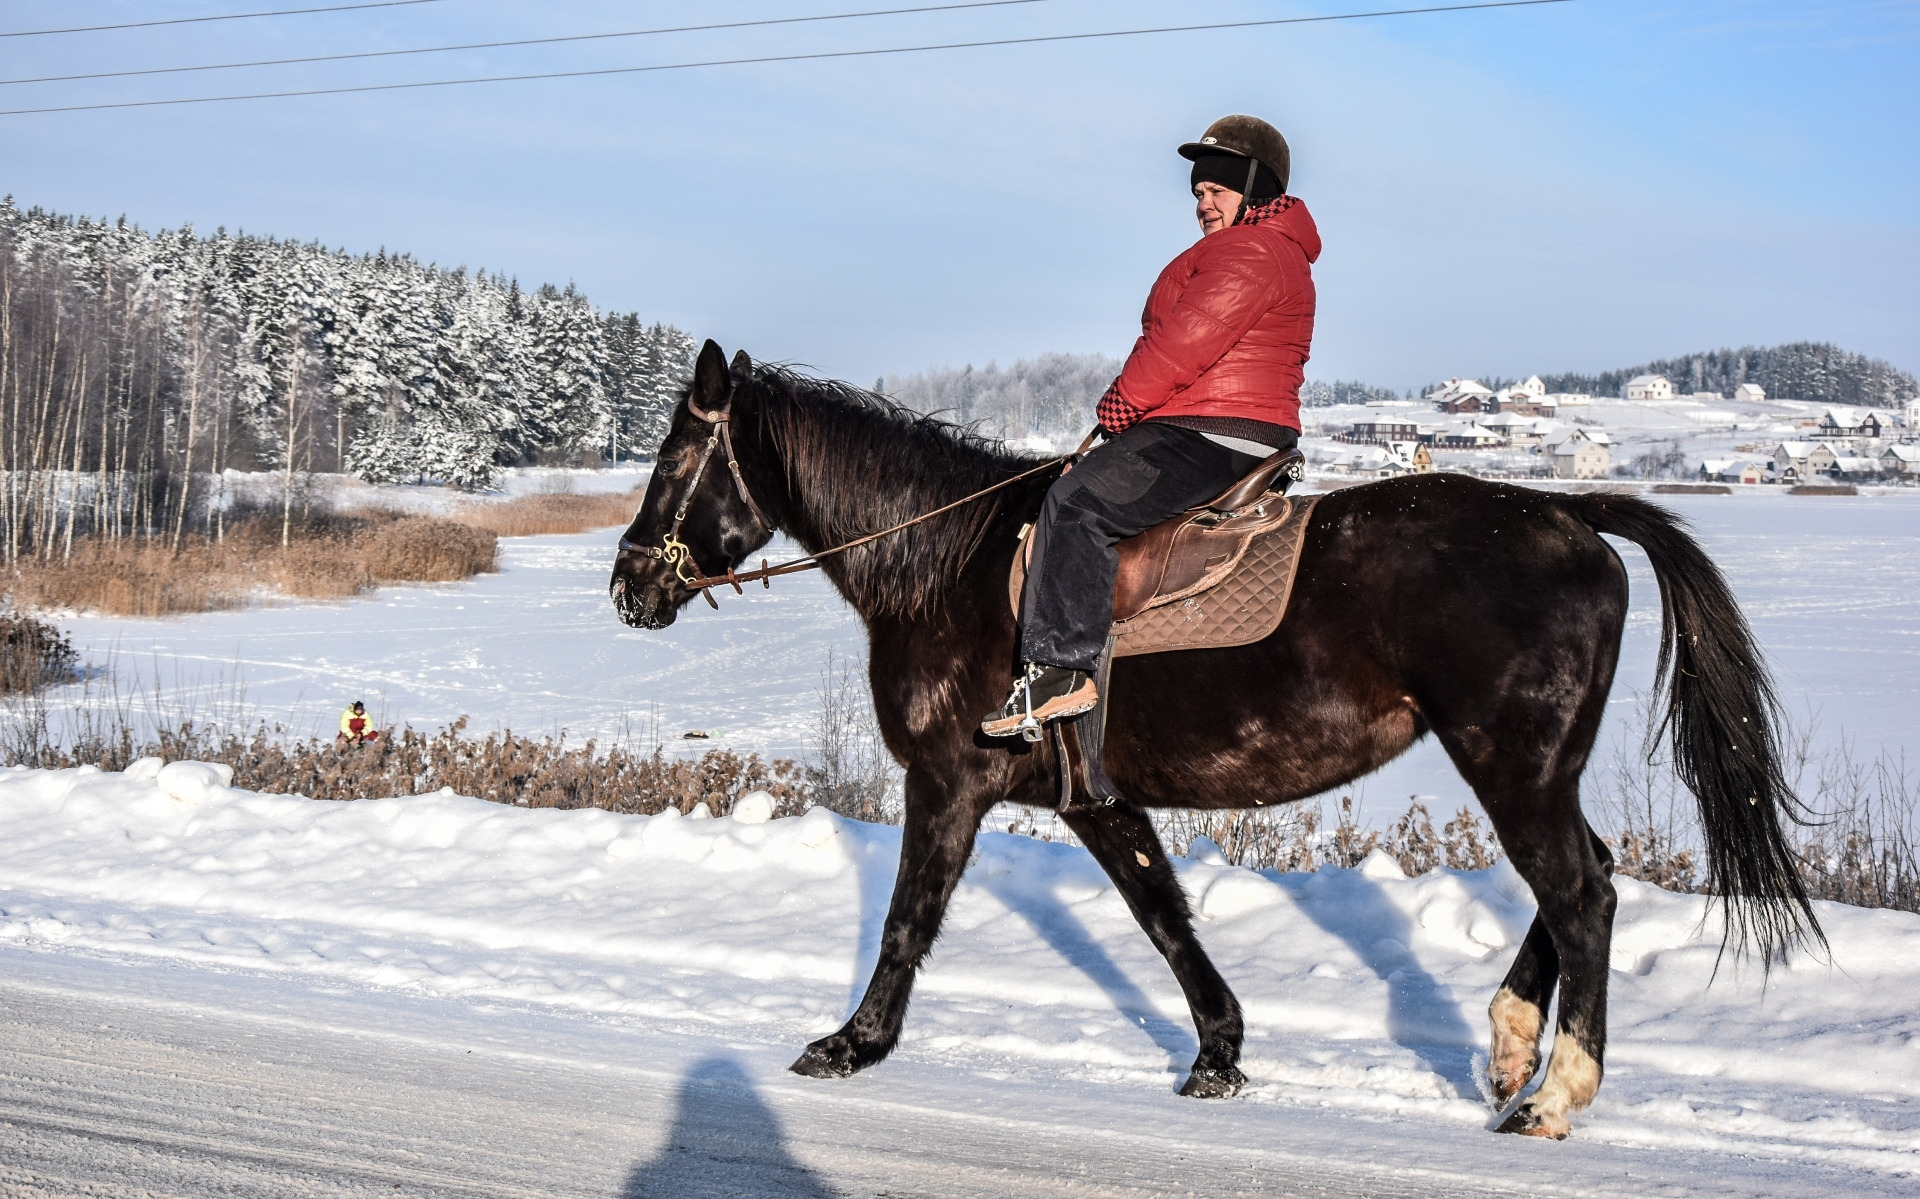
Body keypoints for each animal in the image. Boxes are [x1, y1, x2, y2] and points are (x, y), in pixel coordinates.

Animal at [610, 340, 1812, 1145]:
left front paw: (852, 1042)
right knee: (1581, 881)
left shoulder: (948, 781)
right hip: (1532, 766)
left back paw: (1555, 1093)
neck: (947, 566)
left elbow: (909, 920)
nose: (626, 584)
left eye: (673, 459)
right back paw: (1514, 1046)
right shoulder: (1095, 796)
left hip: (1510, 762)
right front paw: (1220, 1050)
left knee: (1580, 891)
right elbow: (1163, 917)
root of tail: (1574, 515)